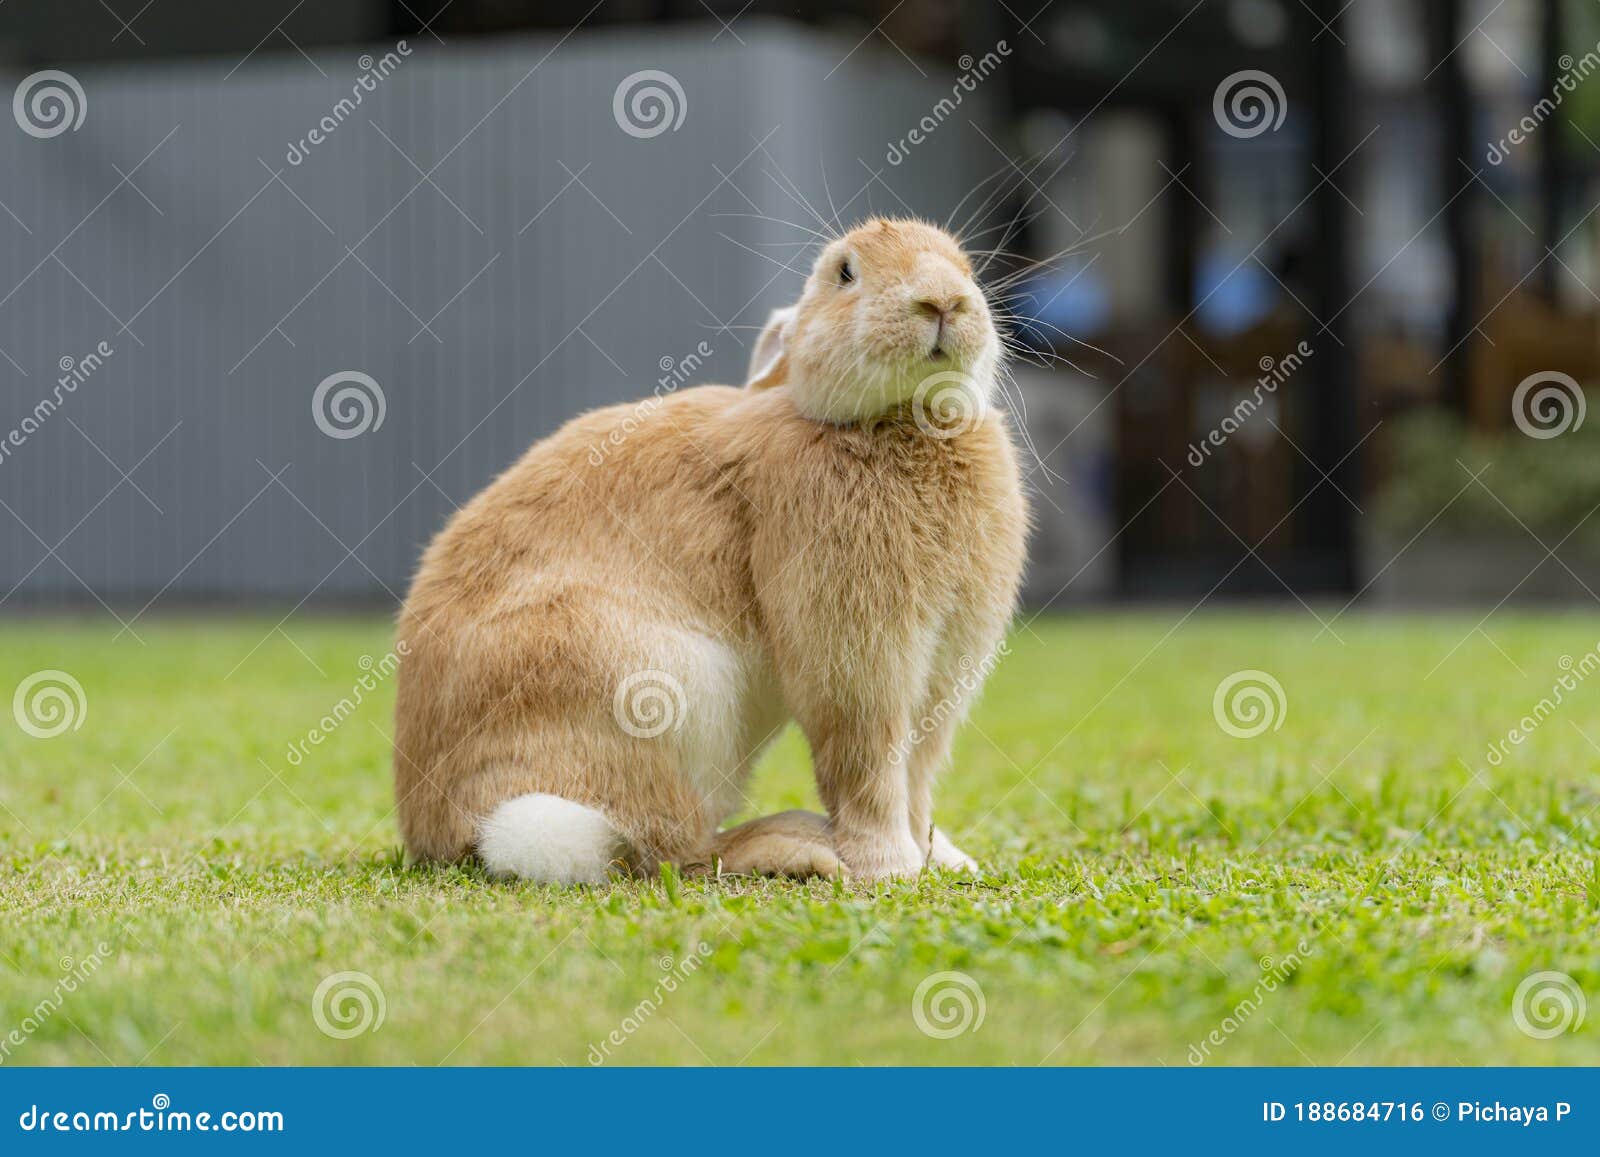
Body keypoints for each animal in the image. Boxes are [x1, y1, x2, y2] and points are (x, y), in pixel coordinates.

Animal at [393, 217, 1028, 884]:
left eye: (966, 268)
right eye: (845, 273)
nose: (942, 301)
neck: (906, 419)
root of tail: (443, 828)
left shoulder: (945, 665)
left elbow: (919, 772)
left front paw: (947, 861)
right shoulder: (856, 658)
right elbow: (866, 763)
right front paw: (888, 868)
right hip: (663, 698)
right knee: (673, 848)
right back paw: (801, 845)